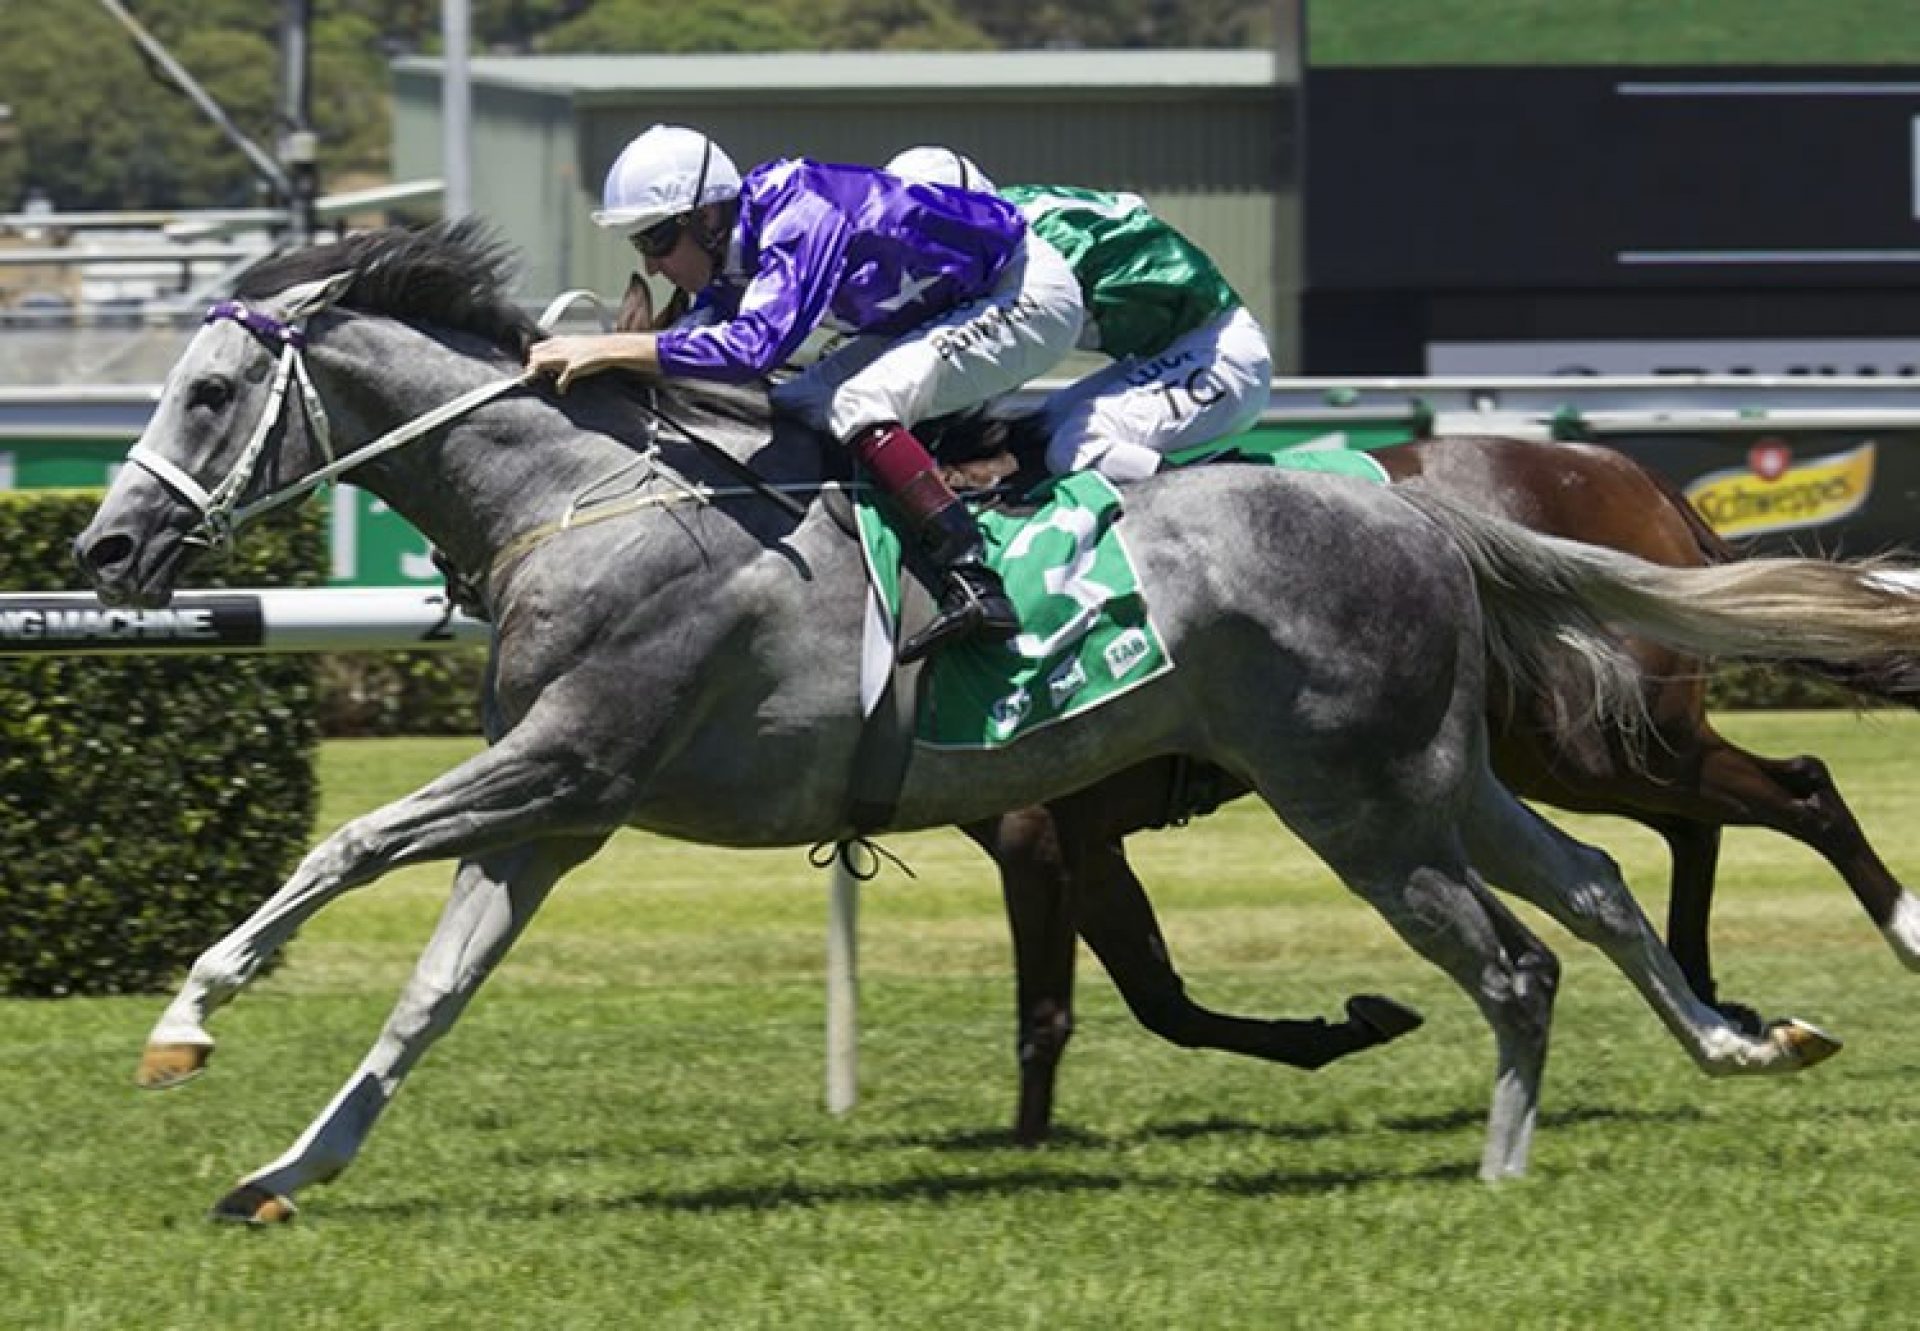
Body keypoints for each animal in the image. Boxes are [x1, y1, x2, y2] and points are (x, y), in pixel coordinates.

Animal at [967, 435, 1920, 1144]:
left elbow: (1054, 1011)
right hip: (1559, 754)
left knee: (1799, 788)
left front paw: (1025, 1145)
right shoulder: (1085, 841)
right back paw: (1714, 989)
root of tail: (1626, 472)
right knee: (1699, 825)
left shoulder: (1037, 834)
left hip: (1594, 743)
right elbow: (1159, 998)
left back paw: (1899, 932)